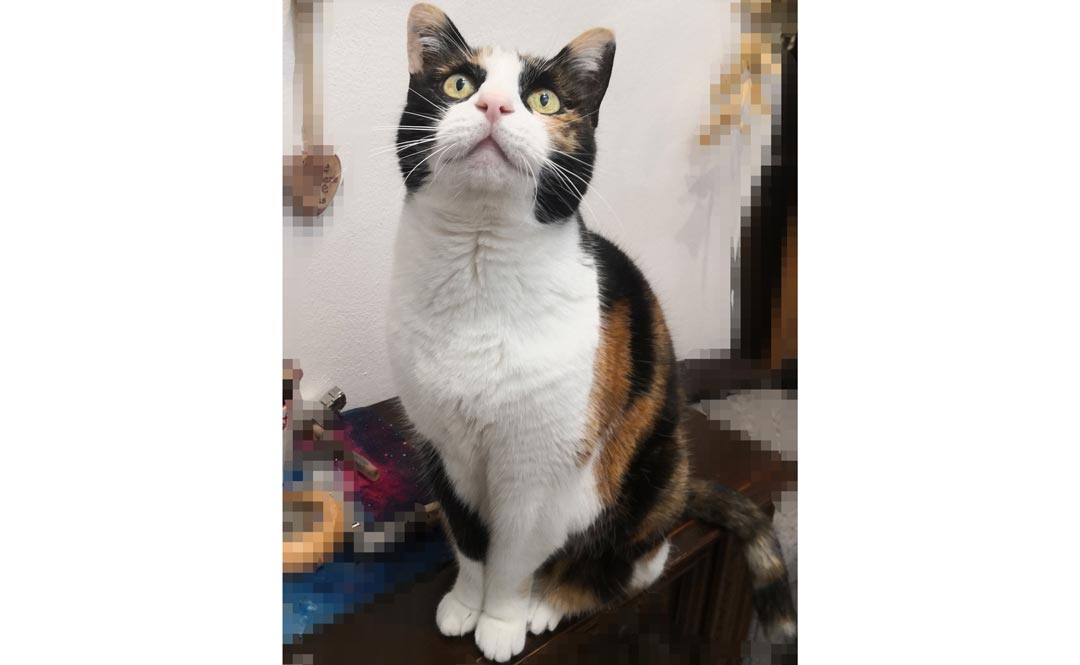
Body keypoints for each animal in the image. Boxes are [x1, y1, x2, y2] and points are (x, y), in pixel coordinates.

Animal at [386, 4, 796, 662]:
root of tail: (682, 485)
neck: (479, 264)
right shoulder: (444, 451)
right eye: (459, 84)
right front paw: (464, 606)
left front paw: (500, 623)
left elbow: (510, 561)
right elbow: (471, 544)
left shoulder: (538, 469)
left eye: (545, 99)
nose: (493, 105)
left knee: (638, 561)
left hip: (648, 476)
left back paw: (549, 602)